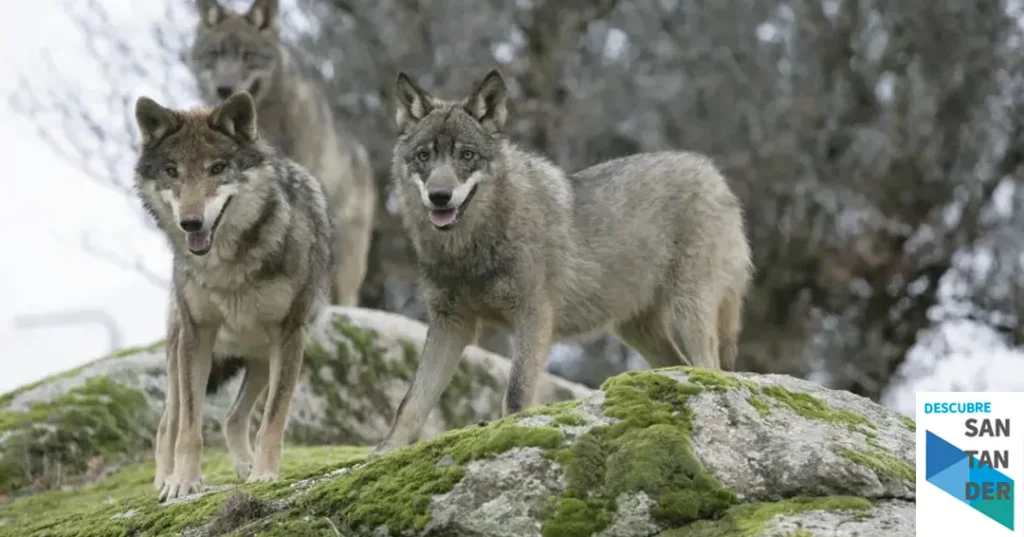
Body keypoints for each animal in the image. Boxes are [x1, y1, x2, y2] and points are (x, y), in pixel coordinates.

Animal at [132, 91, 337, 501]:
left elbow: (273, 419)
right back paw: (164, 479)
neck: (227, 266)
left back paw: (246, 466)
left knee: (232, 418)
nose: (191, 223)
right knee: (168, 424)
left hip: (261, 358)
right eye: (172, 171)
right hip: (180, 355)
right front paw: (183, 483)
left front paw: (264, 474)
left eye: (217, 168)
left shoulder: (290, 334)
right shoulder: (197, 336)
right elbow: (190, 428)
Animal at [373, 69, 754, 454]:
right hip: (637, 329)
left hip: (688, 311)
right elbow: (411, 403)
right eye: (424, 155)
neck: (469, 249)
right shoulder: (451, 324)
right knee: (682, 365)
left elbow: (516, 395)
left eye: (466, 155)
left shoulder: (533, 316)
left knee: (711, 368)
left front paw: (509, 436)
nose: (439, 197)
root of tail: (713, 173)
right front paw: (385, 452)